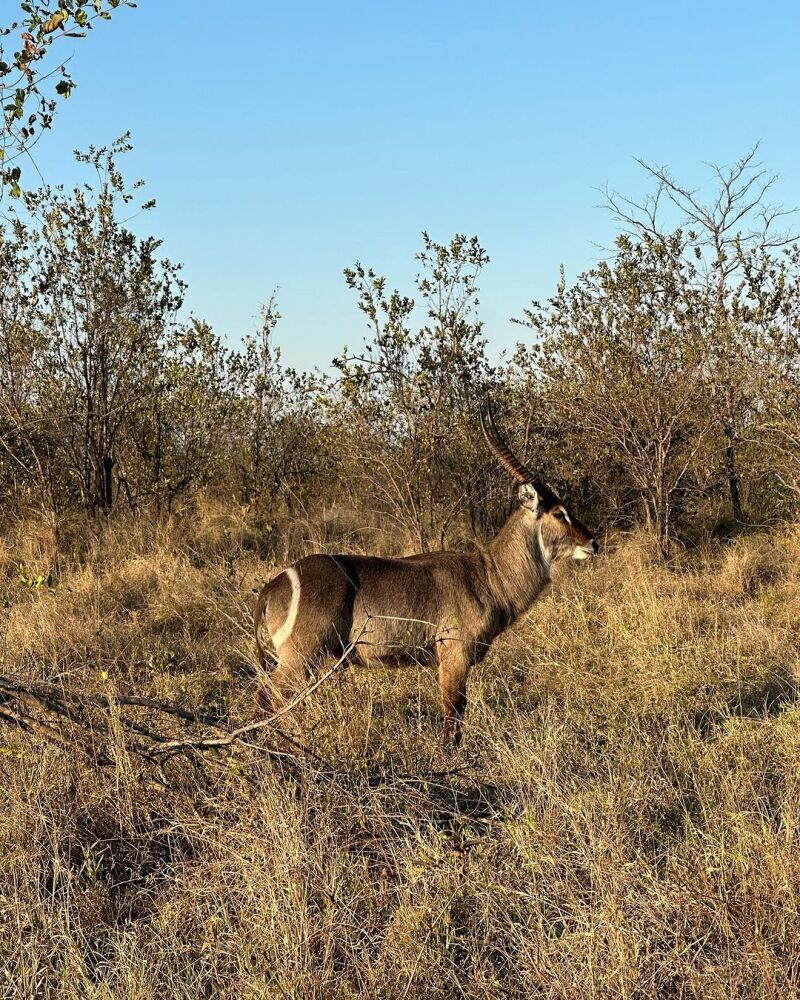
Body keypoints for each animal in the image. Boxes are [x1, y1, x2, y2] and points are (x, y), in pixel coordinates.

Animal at [253, 400, 596, 744]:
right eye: (559, 513)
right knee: (266, 698)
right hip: (300, 654)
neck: (488, 575)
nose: (592, 542)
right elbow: (453, 717)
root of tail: (274, 584)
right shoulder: (454, 654)